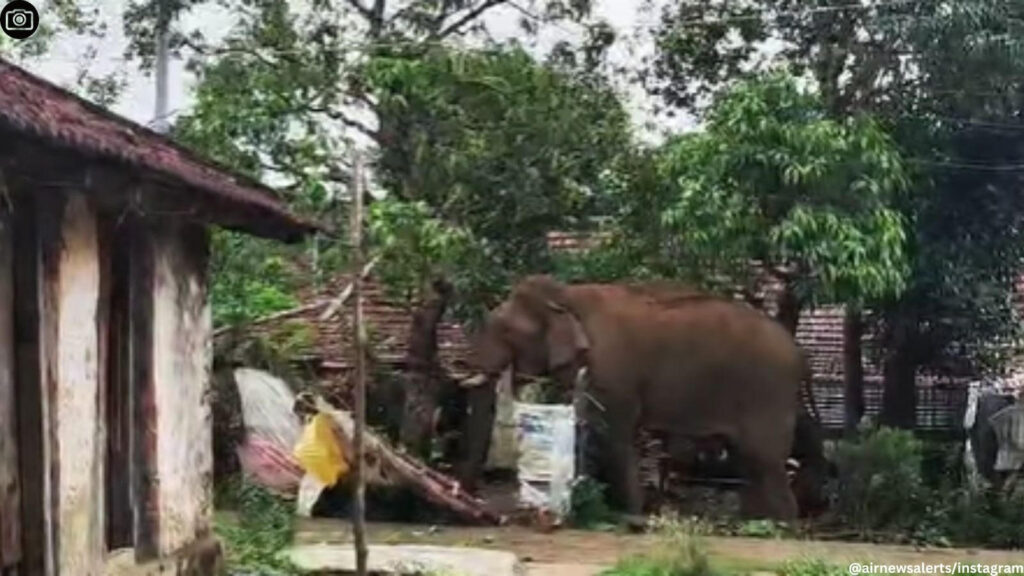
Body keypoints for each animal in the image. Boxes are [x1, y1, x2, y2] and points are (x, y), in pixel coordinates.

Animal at [460, 274, 811, 520]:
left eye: (506, 332)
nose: (477, 502)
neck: (567, 296)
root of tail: (798, 353)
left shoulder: (612, 373)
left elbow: (614, 434)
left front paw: (628, 514)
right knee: (749, 460)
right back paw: (753, 522)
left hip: (768, 392)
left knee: (764, 458)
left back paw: (781, 526)